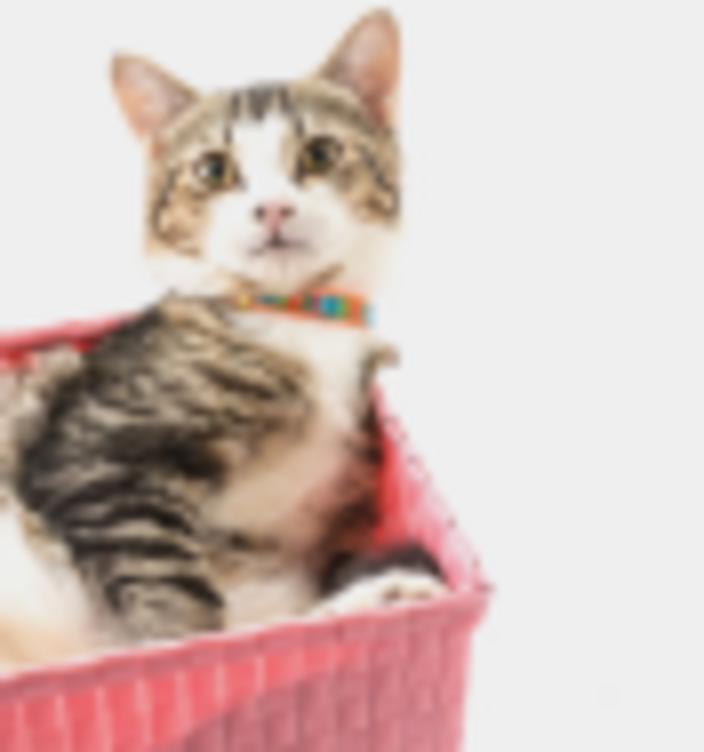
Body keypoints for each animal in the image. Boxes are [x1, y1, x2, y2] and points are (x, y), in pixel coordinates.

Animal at [0, 9, 445, 667]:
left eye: (320, 153)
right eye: (213, 169)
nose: (273, 209)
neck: (295, 317)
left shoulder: (278, 554)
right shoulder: (93, 460)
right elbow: (179, 609)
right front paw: (179, 648)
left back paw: (393, 591)